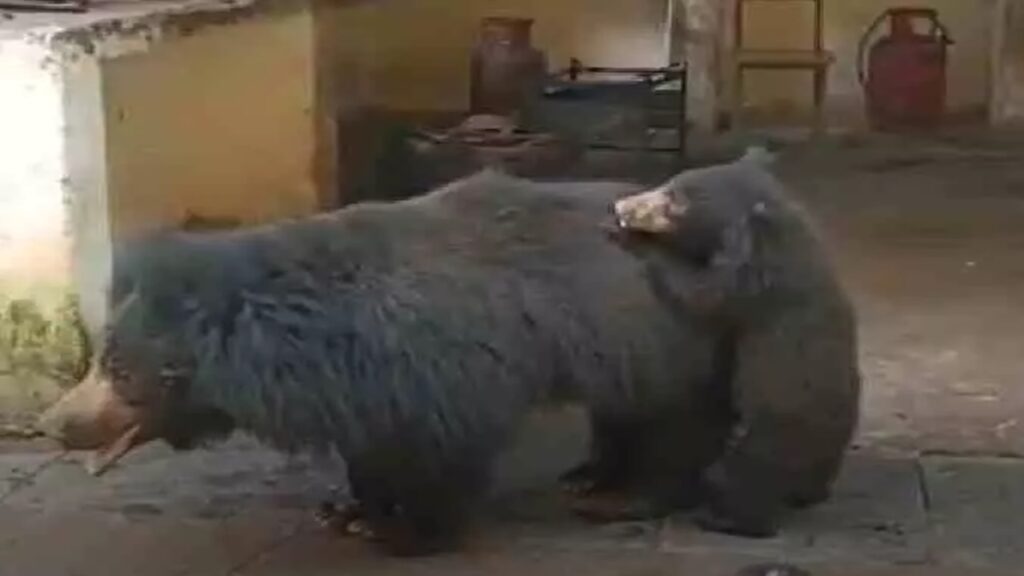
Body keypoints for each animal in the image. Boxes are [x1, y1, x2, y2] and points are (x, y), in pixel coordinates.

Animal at [37, 169, 735, 557]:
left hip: (664, 333)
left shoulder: (429, 364)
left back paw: (631, 496)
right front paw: (352, 511)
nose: (51, 424)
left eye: (119, 372)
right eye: (101, 362)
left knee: (669, 421)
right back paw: (589, 475)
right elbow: (371, 450)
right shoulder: (365, 384)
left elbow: (442, 453)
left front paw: (408, 534)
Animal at [596, 148, 863, 537]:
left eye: (674, 201)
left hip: (771, 424)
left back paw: (723, 517)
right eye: (668, 183)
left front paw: (634, 240)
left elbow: (703, 294)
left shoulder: (760, 281)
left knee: (743, 476)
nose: (622, 207)